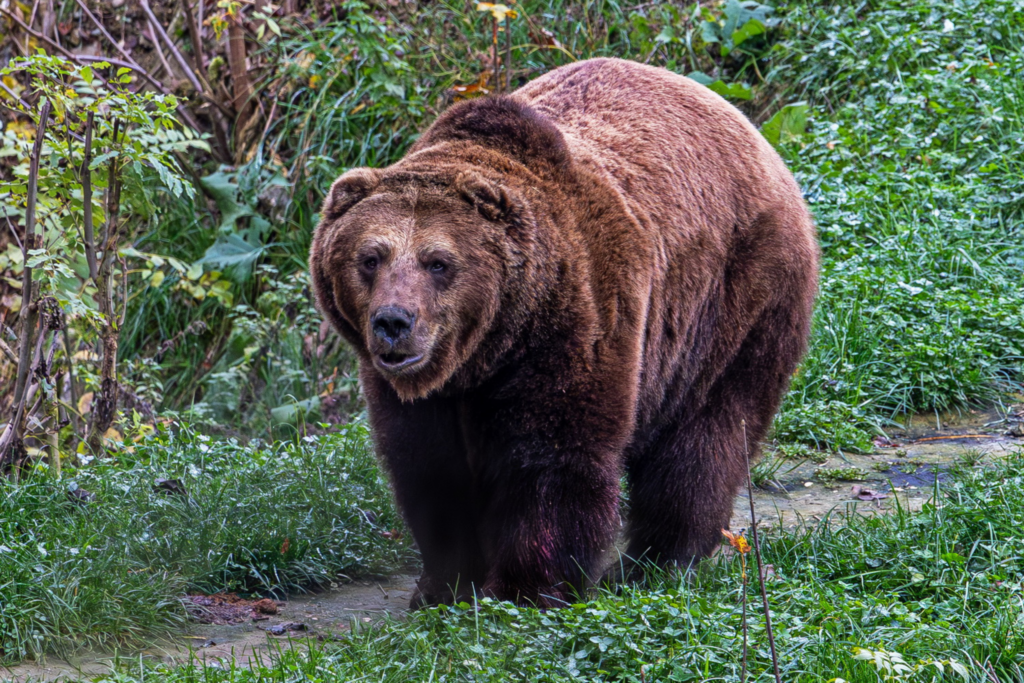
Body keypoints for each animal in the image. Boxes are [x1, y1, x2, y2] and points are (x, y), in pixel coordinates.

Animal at [307, 56, 819, 606]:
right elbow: (429, 467)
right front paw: (443, 584)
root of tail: (752, 132)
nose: (393, 322)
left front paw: (527, 586)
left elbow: (552, 457)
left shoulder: (574, 321)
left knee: (704, 434)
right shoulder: (418, 394)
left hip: (734, 301)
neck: (487, 352)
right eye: (370, 258)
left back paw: (656, 561)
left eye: (438, 262)